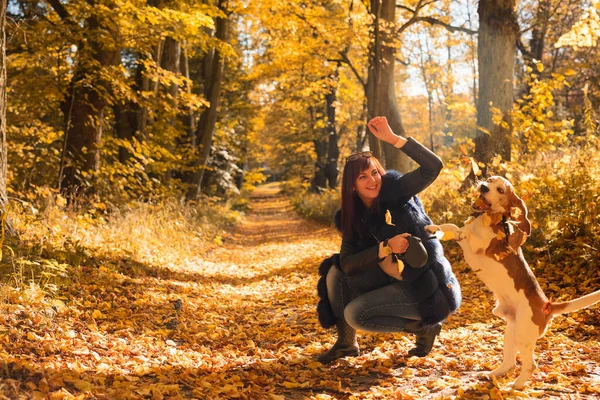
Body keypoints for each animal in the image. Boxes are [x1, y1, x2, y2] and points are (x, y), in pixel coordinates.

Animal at [424, 177, 596, 390]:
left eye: (500, 190)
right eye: (490, 180)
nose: (483, 186)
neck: (488, 218)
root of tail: (547, 305)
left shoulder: (476, 247)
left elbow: (460, 231)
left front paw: (448, 232)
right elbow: (452, 226)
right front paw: (434, 229)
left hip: (522, 336)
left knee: (530, 366)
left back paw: (515, 386)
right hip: (510, 333)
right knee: (510, 363)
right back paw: (494, 374)